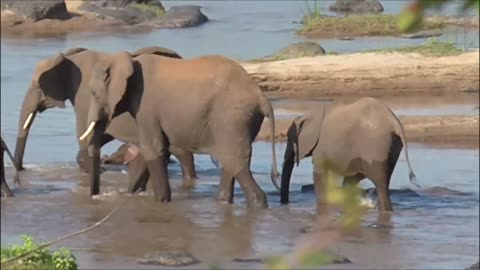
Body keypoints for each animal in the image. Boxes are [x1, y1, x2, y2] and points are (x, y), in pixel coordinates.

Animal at [13, 46, 198, 194]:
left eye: (37, 85)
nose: (21, 170)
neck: (70, 57)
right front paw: (102, 166)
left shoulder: (83, 97)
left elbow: (85, 138)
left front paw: (101, 170)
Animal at [78, 52, 280, 209]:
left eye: (94, 93)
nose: (95, 197)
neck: (127, 60)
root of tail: (262, 97)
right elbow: (148, 150)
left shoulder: (146, 106)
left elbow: (154, 149)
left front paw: (161, 202)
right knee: (230, 163)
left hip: (232, 119)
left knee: (236, 165)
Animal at [280, 97, 418, 213]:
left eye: (289, 138)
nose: (285, 203)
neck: (310, 114)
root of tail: (394, 122)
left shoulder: (321, 146)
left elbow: (320, 173)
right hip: (390, 147)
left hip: (373, 148)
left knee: (380, 184)